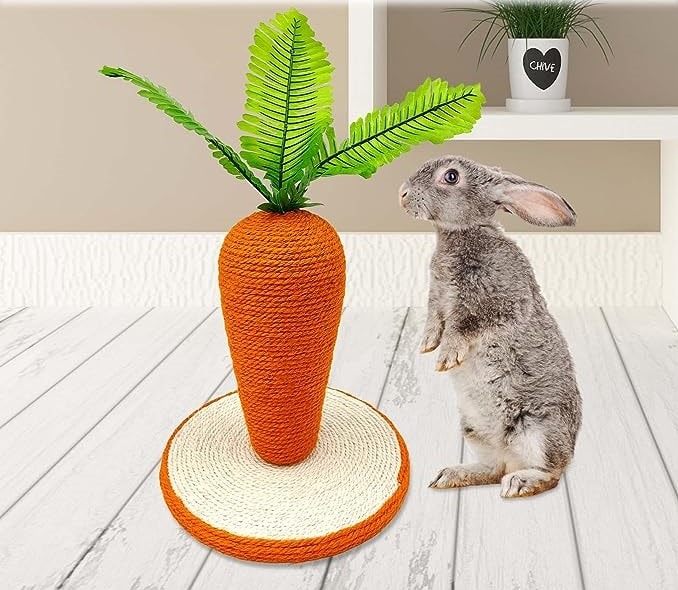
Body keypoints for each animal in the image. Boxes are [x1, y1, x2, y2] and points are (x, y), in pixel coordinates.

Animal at [398, 155, 582, 499]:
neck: (463, 233)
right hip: (474, 430)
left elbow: (464, 326)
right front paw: (427, 344)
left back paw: (520, 482)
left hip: (538, 428)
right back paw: (452, 474)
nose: (402, 193)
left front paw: (447, 356)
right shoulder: (437, 298)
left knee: (551, 473)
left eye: (451, 176)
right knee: (493, 468)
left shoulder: (495, 302)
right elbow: (434, 320)